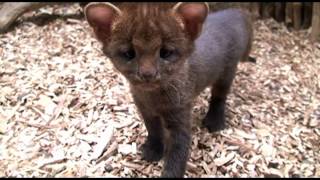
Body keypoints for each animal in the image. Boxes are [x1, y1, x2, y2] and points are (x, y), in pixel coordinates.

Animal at [85, 2, 255, 177]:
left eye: (166, 52)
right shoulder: (146, 111)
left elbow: (177, 155)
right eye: (129, 53)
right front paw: (153, 150)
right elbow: (154, 130)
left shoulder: (180, 118)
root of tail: (235, 12)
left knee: (219, 96)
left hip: (227, 73)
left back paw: (215, 121)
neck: (152, 98)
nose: (147, 74)